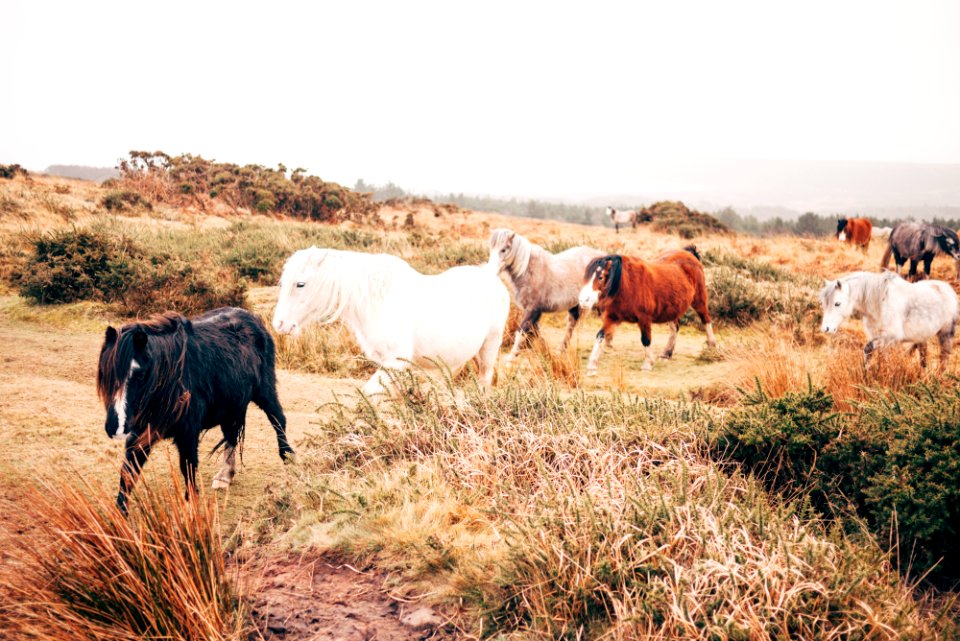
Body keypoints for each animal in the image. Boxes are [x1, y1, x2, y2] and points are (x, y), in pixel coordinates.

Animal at [98, 304, 294, 510]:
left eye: (140, 375)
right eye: (105, 373)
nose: (116, 427)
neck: (172, 379)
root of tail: (254, 319)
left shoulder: (188, 433)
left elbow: (188, 468)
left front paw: (191, 508)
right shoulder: (140, 433)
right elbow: (128, 473)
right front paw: (120, 513)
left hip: (264, 391)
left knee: (278, 419)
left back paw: (288, 457)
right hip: (231, 405)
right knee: (231, 435)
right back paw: (225, 476)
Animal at [272, 246, 510, 392]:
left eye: (300, 284)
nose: (279, 324)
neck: (377, 301)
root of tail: (491, 277)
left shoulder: (395, 362)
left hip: (489, 347)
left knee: (484, 379)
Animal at [492, 229, 604, 364]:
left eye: (504, 249)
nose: (491, 270)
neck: (529, 270)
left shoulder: (532, 310)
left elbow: (521, 332)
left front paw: (511, 357)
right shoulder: (534, 312)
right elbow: (535, 333)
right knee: (570, 326)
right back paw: (561, 350)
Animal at [572, 245, 716, 376]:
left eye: (600, 277)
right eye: (585, 277)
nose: (583, 300)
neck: (627, 285)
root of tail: (689, 254)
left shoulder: (644, 319)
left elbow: (645, 339)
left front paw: (647, 364)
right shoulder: (613, 318)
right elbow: (600, 336)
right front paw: (591, 366)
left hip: (699, 301)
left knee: (706, 320)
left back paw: (712, 348)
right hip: (671, 308)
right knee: (675, 328)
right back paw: (666, 353)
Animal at [816, 270, 960, 368]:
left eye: (837, 303)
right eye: (823, 303)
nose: (826, 328)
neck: (881, 303)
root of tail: (949, 290)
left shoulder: (889, 338)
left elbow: (869, 349)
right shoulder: (878, 337)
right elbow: (877, 355)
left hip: (946, 334)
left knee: (944, 359)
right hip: (922, 337)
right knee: (923, 357)